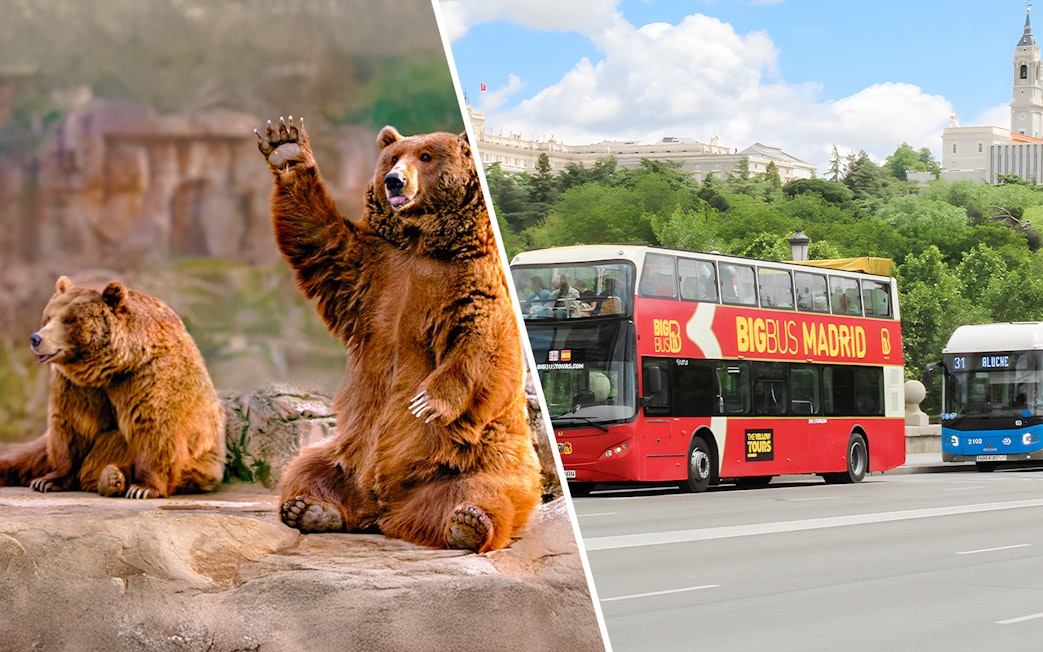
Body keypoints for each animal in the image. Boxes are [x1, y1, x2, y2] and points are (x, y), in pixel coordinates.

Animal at [0, 276, 225, 499]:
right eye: (48, 317)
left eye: (69, 320)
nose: (36, 338)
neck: (110, 368)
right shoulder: (75, 386)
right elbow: (72, 426)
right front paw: (47, 481)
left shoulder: (148, 377)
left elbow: (156, 427)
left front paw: (143, 488)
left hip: (201, 463)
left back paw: (112, 478)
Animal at [256, 116, 541, 552]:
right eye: (392, 157)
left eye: (426, 156)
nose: (393, 181)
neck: (421, 243)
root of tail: (383, 508)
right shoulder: (370, 269)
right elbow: (319, 236)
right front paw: (286, 147)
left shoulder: (471, 281)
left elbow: (482, 341)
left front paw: (428, 402)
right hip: (347, 453)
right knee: (306, 467)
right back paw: (310, 509)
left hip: (475, 458)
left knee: (486, 490)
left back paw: (468, 524)